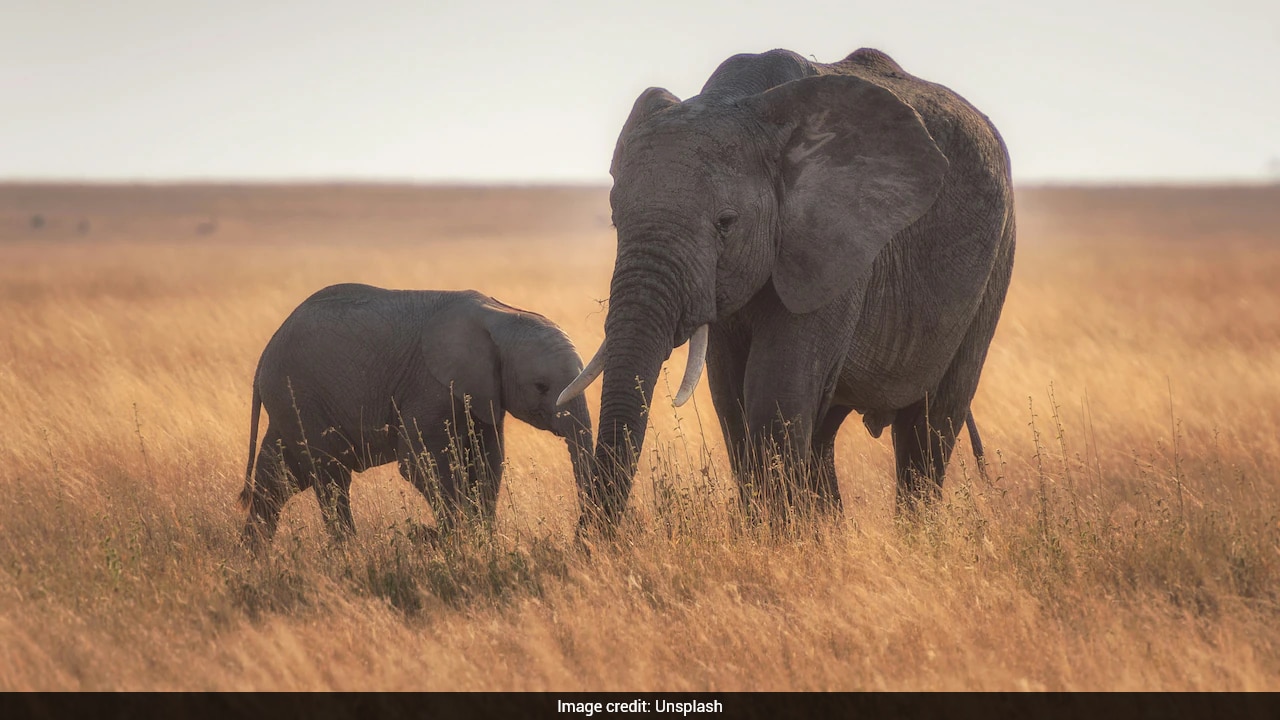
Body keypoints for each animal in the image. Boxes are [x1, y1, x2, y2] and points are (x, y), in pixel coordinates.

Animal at [239, 283, 593, 543]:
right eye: (541, 386)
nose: (581, 536)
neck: (501, 315)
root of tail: (263, 357)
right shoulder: (429, 385)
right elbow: (420, 464)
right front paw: (458, 542)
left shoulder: (483, 393)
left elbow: (487, 462)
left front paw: (482, 541)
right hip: (300, 396)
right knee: (330, 476)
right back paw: (348, 552)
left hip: (291, 403)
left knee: (278, 479)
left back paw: (255, 557)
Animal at [558, 47, 1015, 526]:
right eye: (615, 220)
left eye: (726, 223)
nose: (593, 540)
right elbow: (731, 398)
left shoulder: (836, 243)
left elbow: (775, 393)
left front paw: (779, 537)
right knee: (825, 432)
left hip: (996, 261)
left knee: (930, 424)